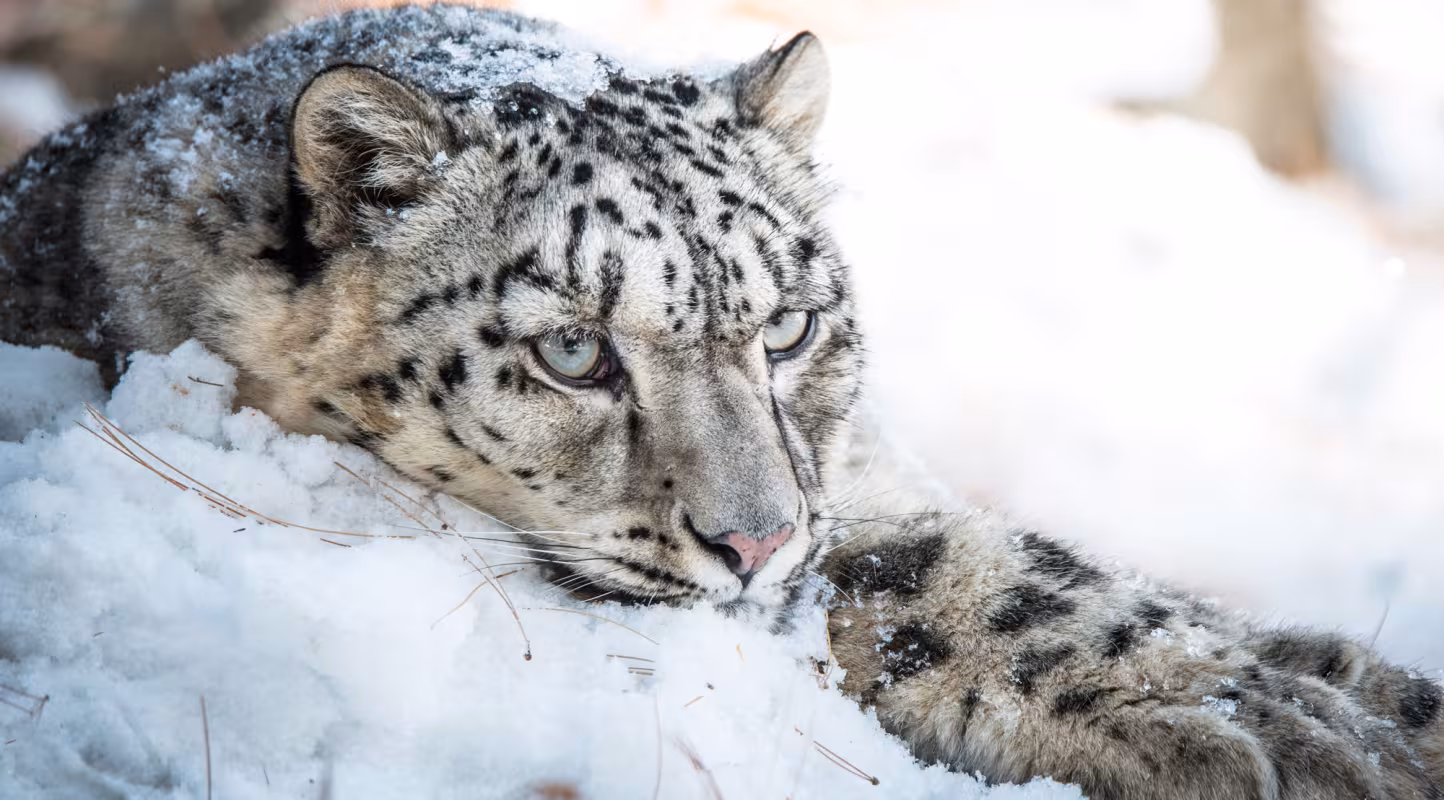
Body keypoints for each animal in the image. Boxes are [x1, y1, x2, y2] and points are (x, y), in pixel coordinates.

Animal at [0, 5, 1439, 798]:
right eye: (574, 351)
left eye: (789, 326)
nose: (757, 540)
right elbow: (964, 586)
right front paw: (1282, 730)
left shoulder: (861, 482)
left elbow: (1049, 566)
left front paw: (1364, 704)